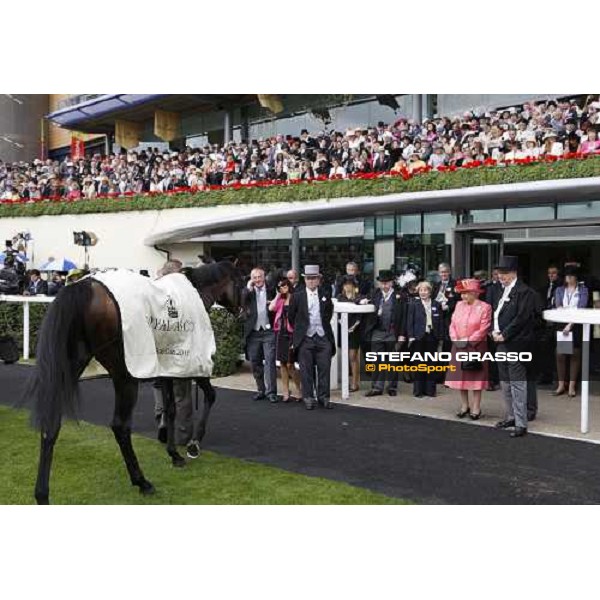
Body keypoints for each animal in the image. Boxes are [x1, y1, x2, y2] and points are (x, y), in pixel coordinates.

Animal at [27, 262, 244, 506]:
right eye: (241, 282)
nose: (242, 311)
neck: (194, 291)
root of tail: (84, 286)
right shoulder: (193, 362)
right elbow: (209, 395)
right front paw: (193, 444)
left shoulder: (166, 367)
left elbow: (170, 409)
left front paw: (174, 454)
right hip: (125, 375)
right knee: (120, 426)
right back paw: (142, 481)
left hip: (72, 364)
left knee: (51, 422)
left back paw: (42, 494)